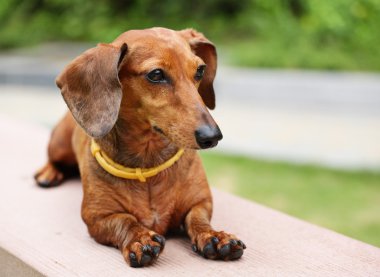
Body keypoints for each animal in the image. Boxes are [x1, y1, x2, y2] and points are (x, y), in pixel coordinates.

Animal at [34, 27, 245, 266]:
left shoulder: (200, 202)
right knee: (53, 159)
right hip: (58, 144)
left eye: (200, 70)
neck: (148, 165)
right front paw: (139, 237)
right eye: (156, 74)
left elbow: (197, 218)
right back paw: (48, 173)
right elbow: (125, 220)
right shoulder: (97, 216)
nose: (213, 136)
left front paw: (214, 235)